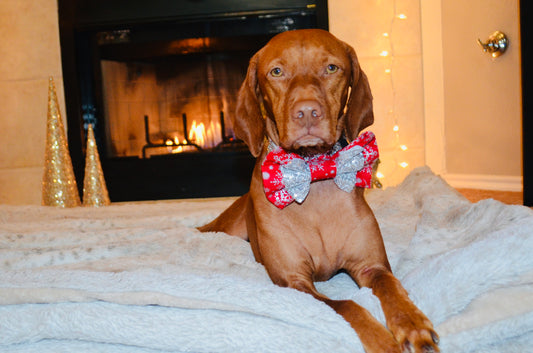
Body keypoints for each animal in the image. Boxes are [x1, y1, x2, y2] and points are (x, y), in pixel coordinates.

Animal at [197, 30, 438, 352]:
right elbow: (348, 305)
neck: (313, 173)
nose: (307, 112)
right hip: (225, 230)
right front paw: (382, 341)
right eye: (276, 72)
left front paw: (412, 324)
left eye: (331, 68)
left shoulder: (372, 267)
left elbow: (393, 289)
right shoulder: (295, 281)